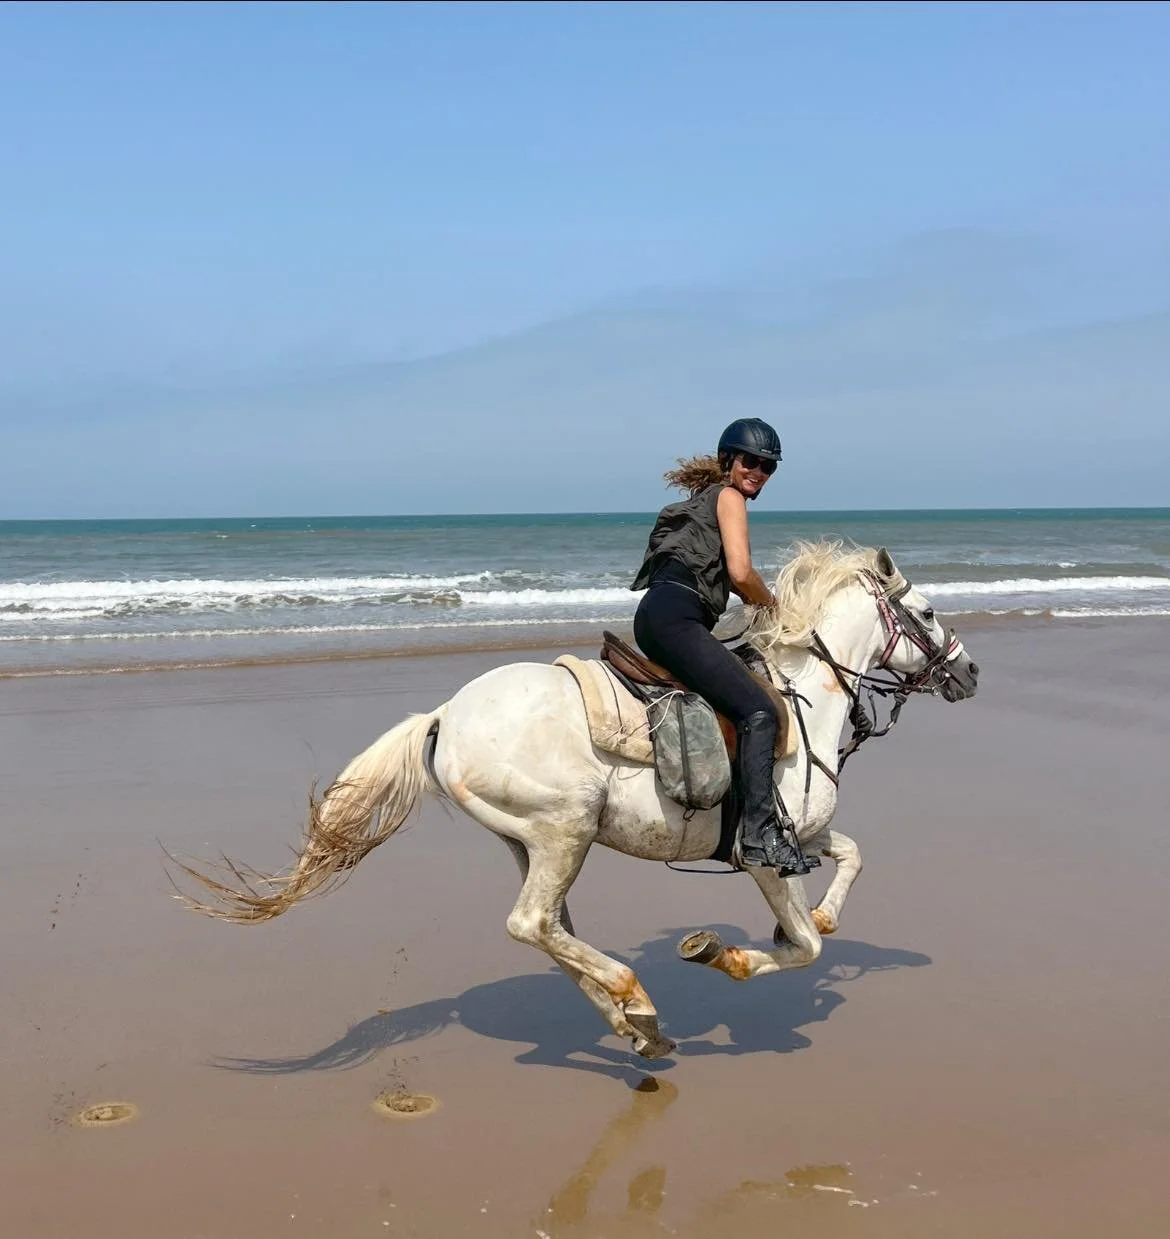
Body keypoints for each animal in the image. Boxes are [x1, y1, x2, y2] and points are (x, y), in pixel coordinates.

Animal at [171, 541, 979, 1061]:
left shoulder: (801, 838)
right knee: (532, 923)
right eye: (927, 613)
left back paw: (636, 1024)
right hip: (564, 829)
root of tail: (445, 715)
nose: (969, 672)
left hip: (533, 840)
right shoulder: (763, 855)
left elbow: (850, 860)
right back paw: (634, 996)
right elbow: (804, 947)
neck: (802, 700)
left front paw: (819, 916)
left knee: (550, 930)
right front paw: (726, 954)